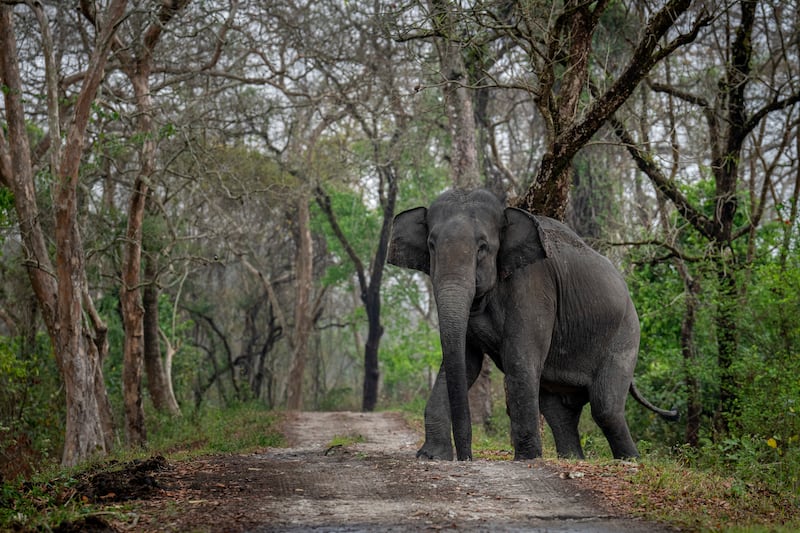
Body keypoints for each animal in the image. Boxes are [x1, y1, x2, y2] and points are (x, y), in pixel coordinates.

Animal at [388, 189, 676, 460]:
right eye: (431, 245)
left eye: (483, 247)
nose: (467, 457)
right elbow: (466, 362)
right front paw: (431, 456)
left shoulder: (533, 285)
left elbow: (518, 359)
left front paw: (527, 459)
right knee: (558, 410)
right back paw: (573, 458)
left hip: (625, 334)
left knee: (606, 407)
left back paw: (630, 461)